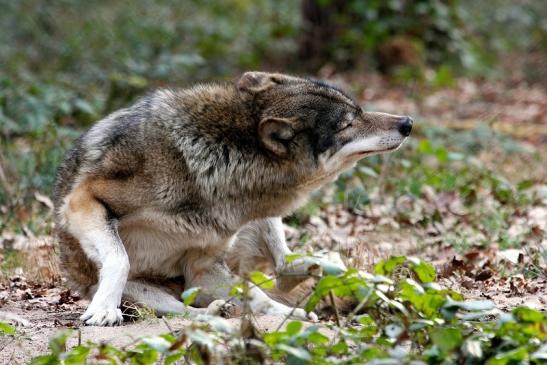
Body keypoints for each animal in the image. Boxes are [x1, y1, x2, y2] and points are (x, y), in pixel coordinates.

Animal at [53, 71, 414, 324]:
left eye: (359, 110)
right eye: (348, 124)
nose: (408, 122)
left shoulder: (202, 269)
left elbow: (257, 295)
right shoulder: (85, 199)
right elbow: (120, 259)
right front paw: (104, 309)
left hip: (256, 229)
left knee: (280, 270)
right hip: (149, 293)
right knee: (189, 310)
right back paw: (219, 312)